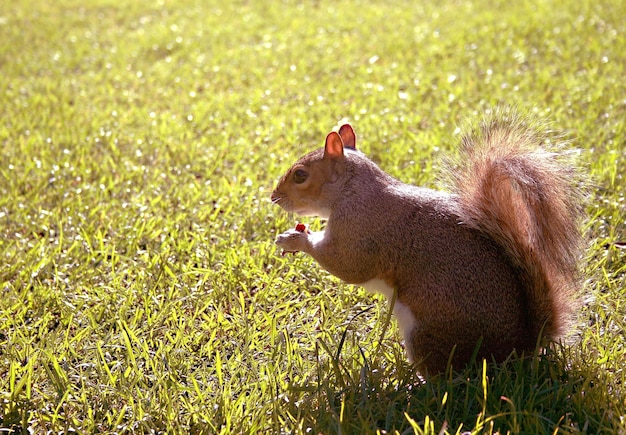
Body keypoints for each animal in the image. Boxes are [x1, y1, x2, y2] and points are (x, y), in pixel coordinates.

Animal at [270, 110, 584, 374]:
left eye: (300, 175)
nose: (273, 197)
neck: (353, 188)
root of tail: (516, 347)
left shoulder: (360, 229)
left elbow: (346, 265)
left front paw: (295, 239)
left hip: (428, 334)